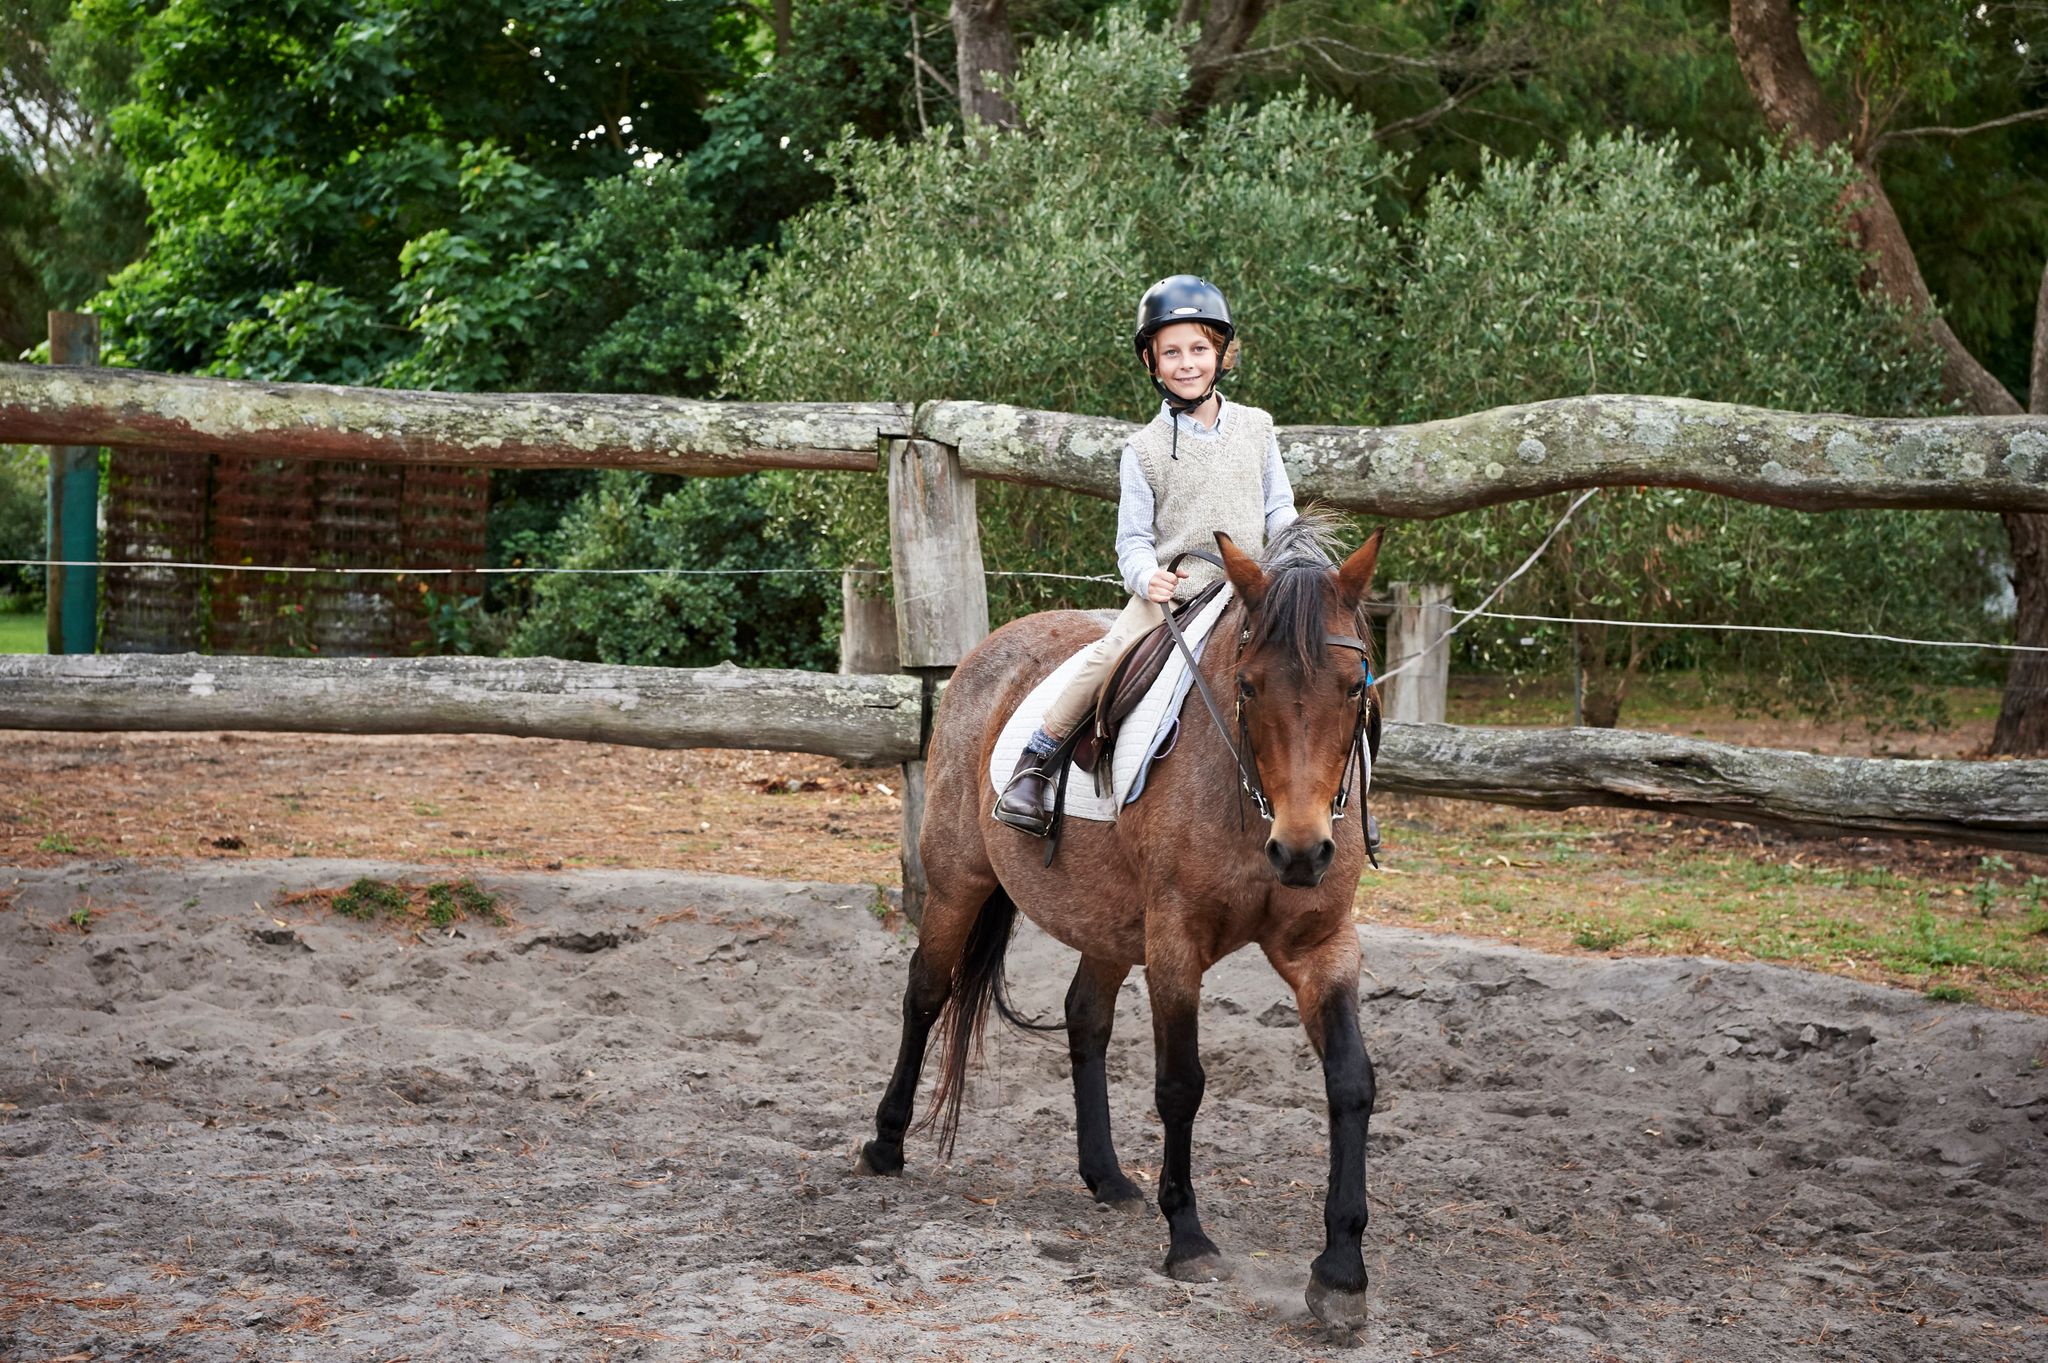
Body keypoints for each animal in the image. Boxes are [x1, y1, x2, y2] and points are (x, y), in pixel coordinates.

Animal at [856, 515, 1384, 1317]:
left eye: (1354, 687)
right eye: (1250, 684)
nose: (1301, 852)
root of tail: (987, 650)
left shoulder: (1321, 943)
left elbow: (1351, 1081)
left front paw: (1341, 1269)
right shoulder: (1174, 942)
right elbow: (1181, 1084)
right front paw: (1189, 1239)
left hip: (1105, 920)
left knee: (1084, 1017)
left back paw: (1104, 1174)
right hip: (956, 884)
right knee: (926, 992)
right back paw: (887, 1142)